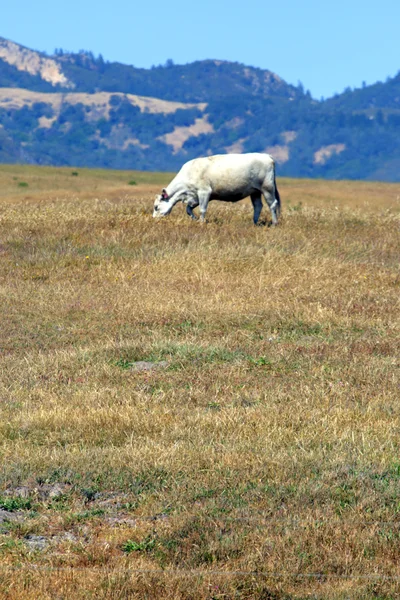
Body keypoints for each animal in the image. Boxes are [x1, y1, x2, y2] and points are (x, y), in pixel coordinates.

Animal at [153, 152, 282, 225]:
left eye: (156, 207)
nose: (153, 219)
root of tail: (266, 156)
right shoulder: (195, 197)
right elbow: (188, 209)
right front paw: (195, 219)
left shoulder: (204, 192)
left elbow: (202, 209)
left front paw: (201, 222)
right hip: (255, 191)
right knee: (258, 206)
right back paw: (254, 223)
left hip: (267, 188)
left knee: (272, 204)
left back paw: (274, 223)